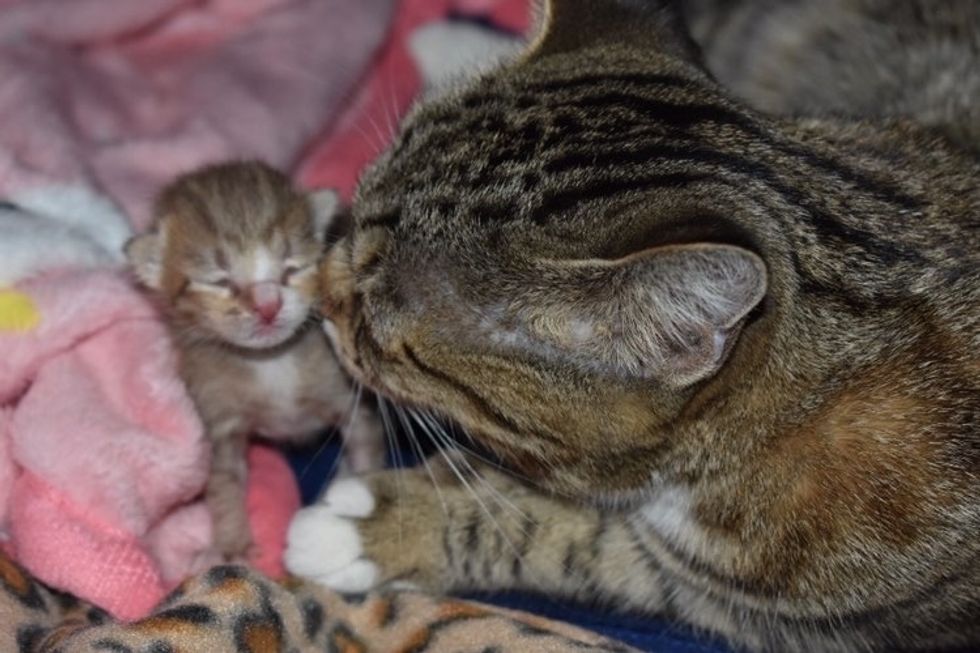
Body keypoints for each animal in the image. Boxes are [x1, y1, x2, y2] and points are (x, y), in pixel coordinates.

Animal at [129, 160, 386, 556]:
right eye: (218, 281)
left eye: (293, 267)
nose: (268, 305)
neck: (270, 363)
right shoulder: (220, 424)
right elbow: (223, 486)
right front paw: (230, 546)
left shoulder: (352, 402)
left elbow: (366, 452)